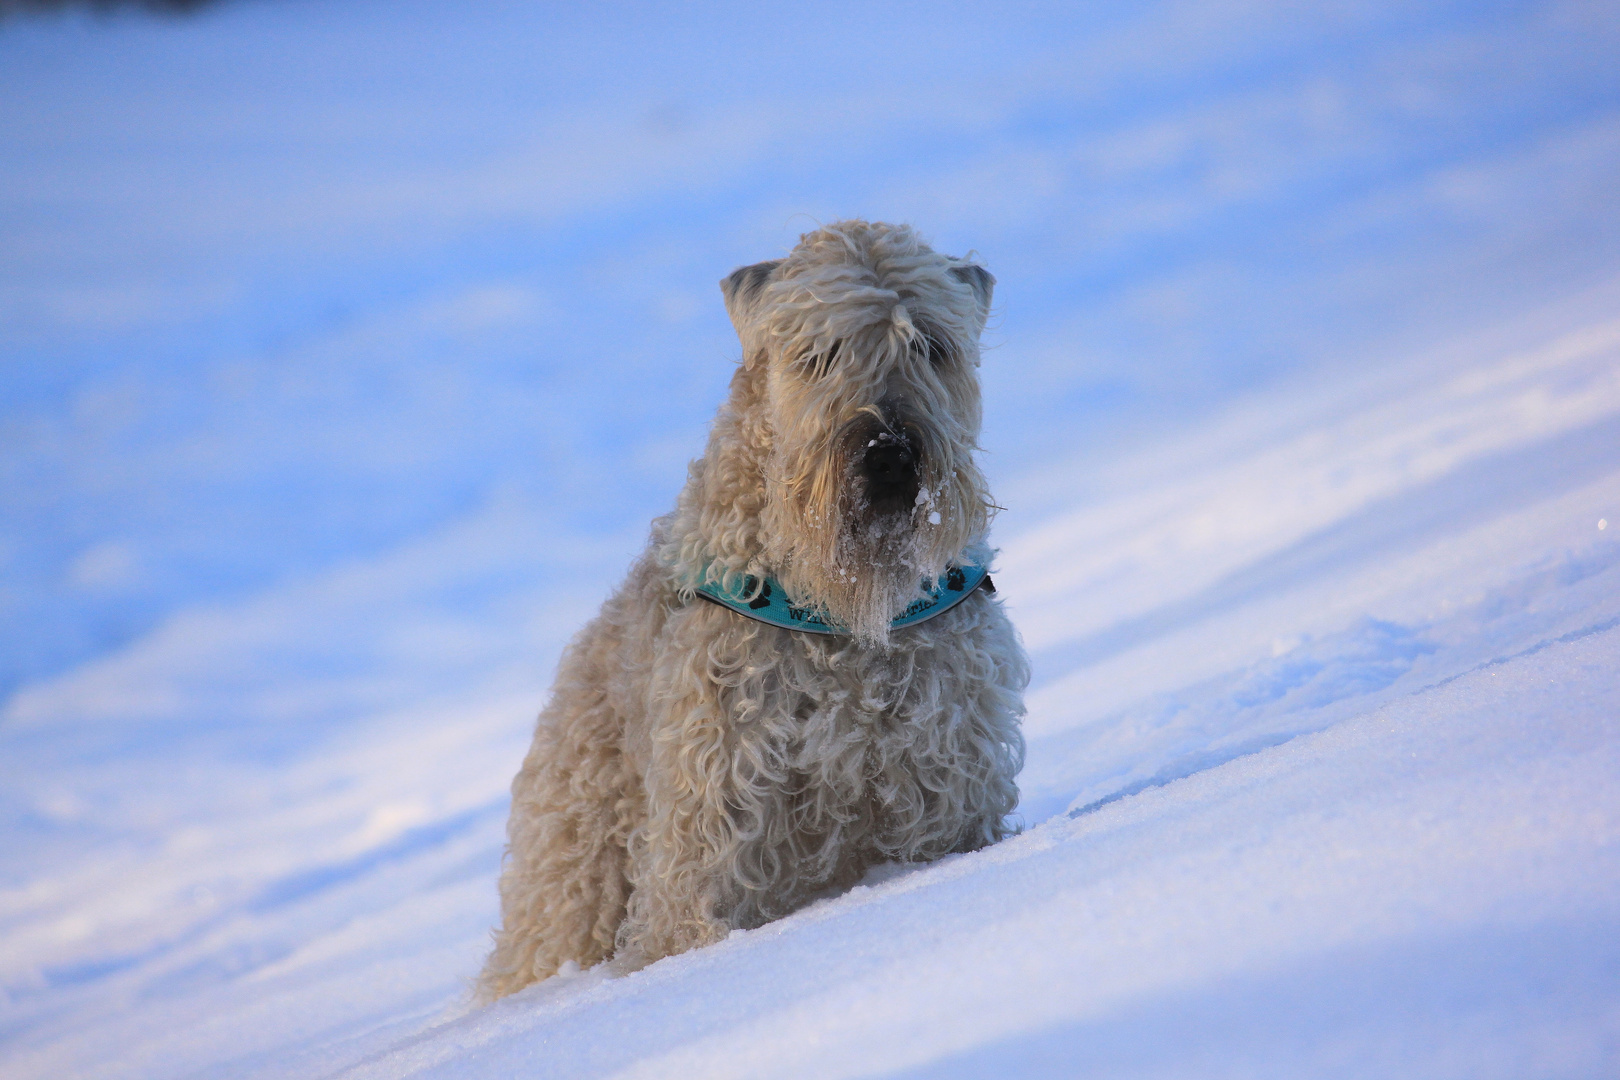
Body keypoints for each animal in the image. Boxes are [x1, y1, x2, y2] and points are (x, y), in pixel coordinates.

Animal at [473, 221, 1023, 1003]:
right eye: (818, 353)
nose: (888, 453)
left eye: (930, 345)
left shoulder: (949, 786)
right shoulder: (707, 817)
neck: (836, 615)